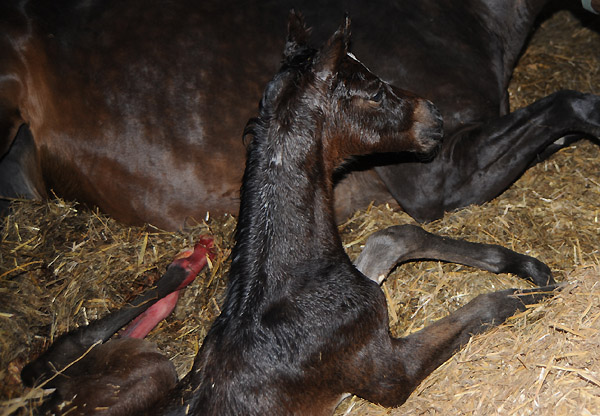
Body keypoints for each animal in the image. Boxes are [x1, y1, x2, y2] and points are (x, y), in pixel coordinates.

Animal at [22, 13, 556, 416]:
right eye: (372, 91)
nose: (435, 115)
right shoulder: (390, 373)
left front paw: (525, 265)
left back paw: (181, 270)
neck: (286, 291)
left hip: (150, 364)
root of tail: (47, 398)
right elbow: (479, 310)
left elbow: (393, 237)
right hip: (149, 371)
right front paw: (534, 291)